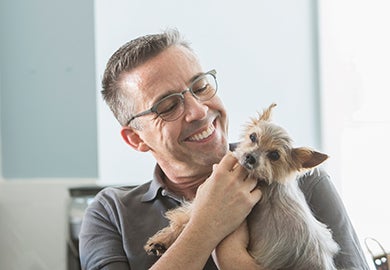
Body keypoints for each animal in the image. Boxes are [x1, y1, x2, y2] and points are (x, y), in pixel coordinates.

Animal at [145, 104, 340, 270]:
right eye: (253, 137)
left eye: (275, 155)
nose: (250, 157)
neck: (264, 180)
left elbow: (188, 216)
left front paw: (163, 239)